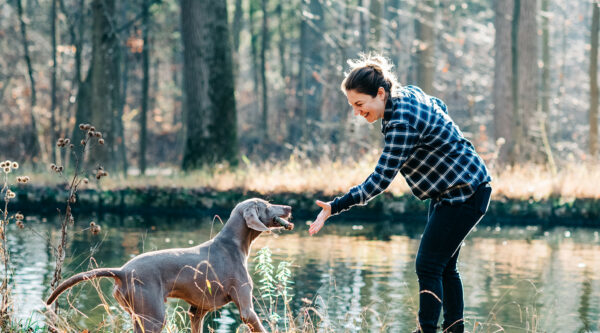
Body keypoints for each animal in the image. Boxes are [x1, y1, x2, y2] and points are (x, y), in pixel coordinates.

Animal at [45, 198, 294, 330]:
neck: (232, 243)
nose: (289, 208)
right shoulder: (246, 310)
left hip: (138, 316)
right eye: (267, 205)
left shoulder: (197, 311)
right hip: (154, 316)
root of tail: (122, 271)